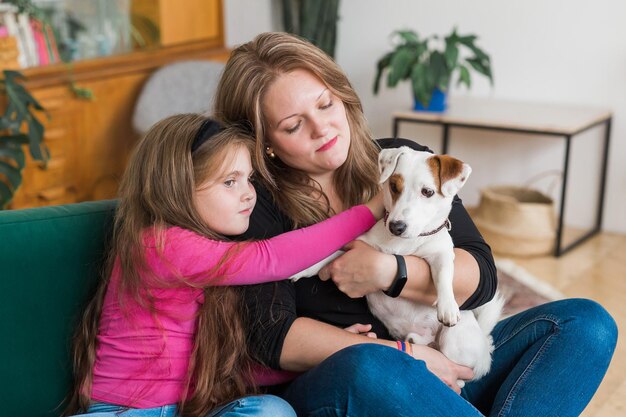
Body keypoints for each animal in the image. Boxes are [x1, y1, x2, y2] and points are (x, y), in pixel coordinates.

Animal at [292, 145, 502, 380]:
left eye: (427, 192)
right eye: (394, 186)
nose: (396, 226)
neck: (403, 244)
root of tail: (485, 347)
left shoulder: (441, 254)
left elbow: (444, 276)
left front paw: (447, 305)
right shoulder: (358, 245)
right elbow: (330, 254)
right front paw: (304, 269)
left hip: (453, 343)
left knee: (454, 368)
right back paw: (412, 338)